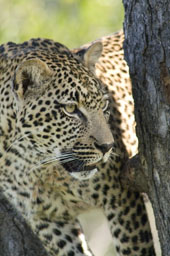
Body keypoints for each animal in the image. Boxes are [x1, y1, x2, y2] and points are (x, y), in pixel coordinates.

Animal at [0, 31, 156, 255]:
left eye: (104, 105)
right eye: (71, 109)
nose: (107, 147)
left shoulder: (121, 198)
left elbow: (134, 248)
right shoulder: (46, 219)